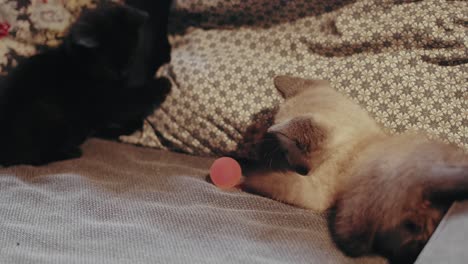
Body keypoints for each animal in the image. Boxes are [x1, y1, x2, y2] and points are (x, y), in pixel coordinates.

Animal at [0, 2, 172, 166]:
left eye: (129, 59)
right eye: (109, 65)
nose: (122, 74)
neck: (77, 64)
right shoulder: (108, 100)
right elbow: (134, 98)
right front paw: (163, 83)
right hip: (51, 116)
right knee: (34, 157)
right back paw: (72, 150)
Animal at [243, 75, 468, 262]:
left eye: (288, 151)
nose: (289, 160)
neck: (360, 140)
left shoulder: (314, 192)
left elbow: (269, 178)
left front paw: (243, 168)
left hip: (353, 210)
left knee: (356, 243)